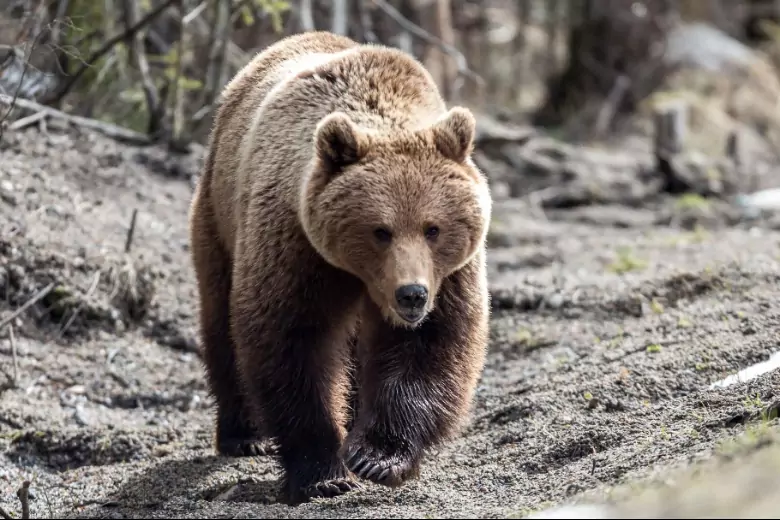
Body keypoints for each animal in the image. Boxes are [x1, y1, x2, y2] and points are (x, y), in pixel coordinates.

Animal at [189, 31, 490, 504]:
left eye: (433, 228)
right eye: (380, 230)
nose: (412, 295)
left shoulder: (451, 275)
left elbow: (431, 344)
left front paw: (377, 456)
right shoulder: (296, 246)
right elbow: (293, 341)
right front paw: (323, 473)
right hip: (219, 218)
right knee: (221, 320)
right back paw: (244, 435)